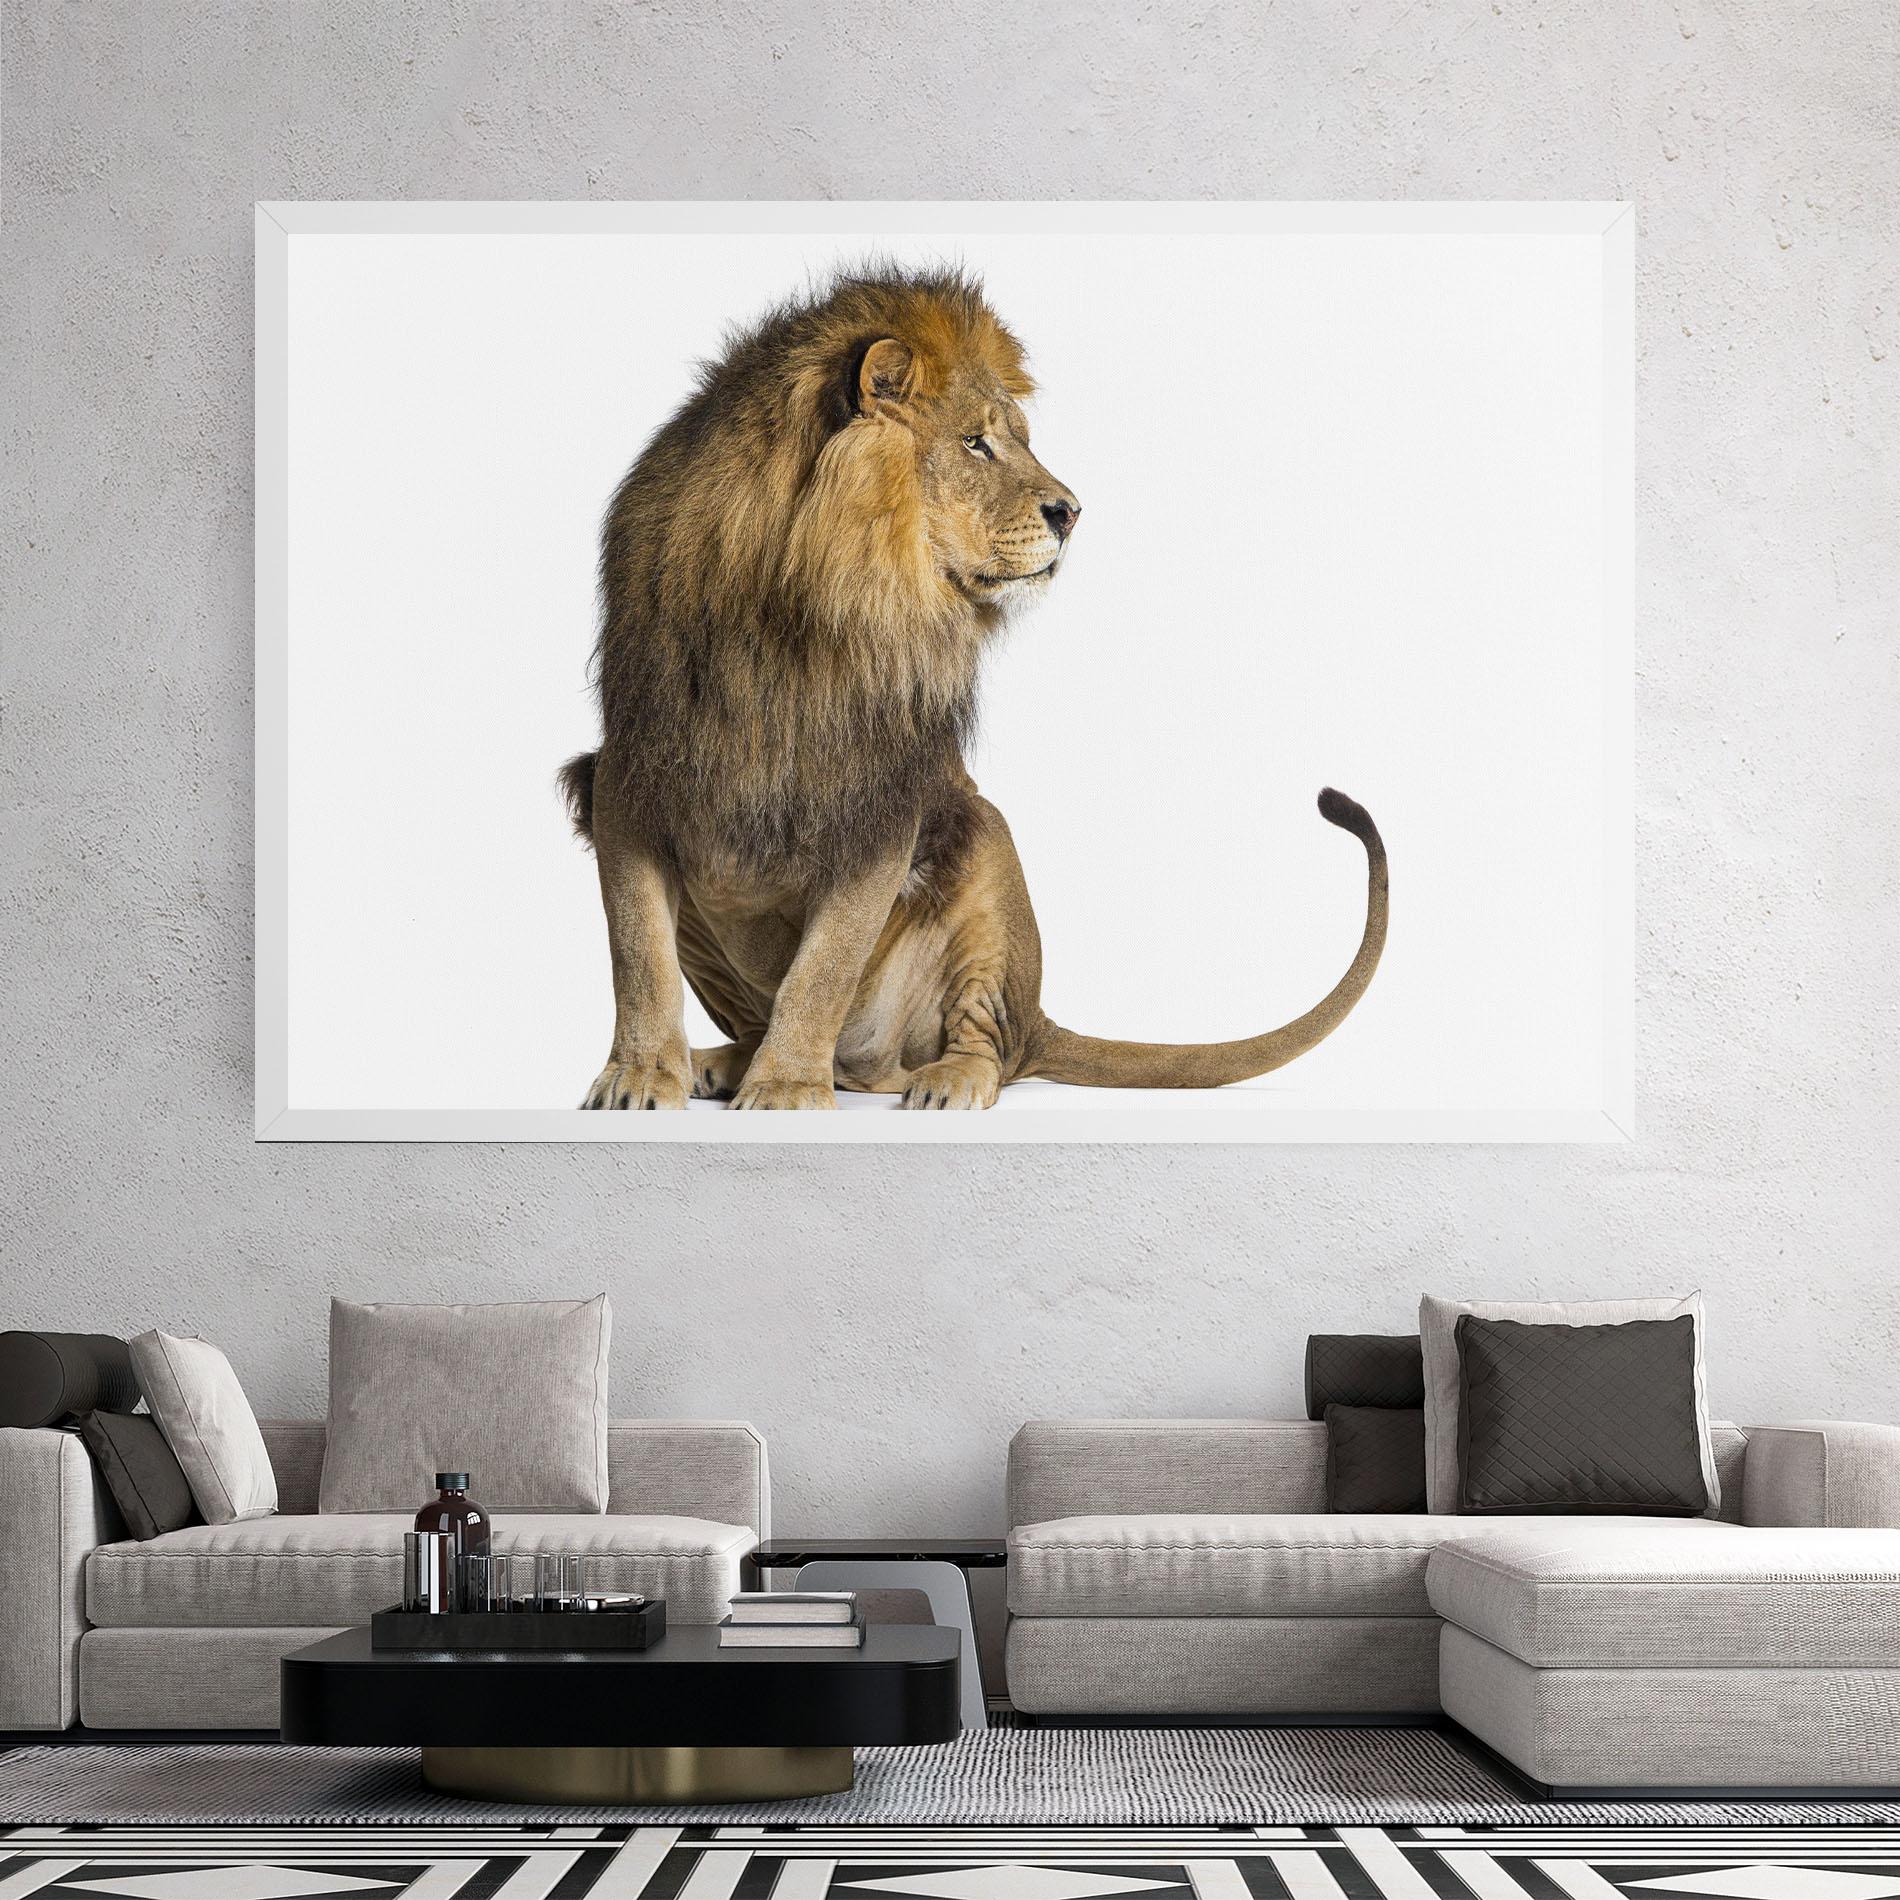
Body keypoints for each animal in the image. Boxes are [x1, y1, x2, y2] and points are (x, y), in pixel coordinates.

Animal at [559, 266, 1386, 1110]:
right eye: (975, 442)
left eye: (1017, 438)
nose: (1072, 513)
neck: (795, 613)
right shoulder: (628, 775)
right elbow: (639, 954)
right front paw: (640, 1076)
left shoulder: (883, 801)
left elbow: (822, 969)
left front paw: (787, 1086)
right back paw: (724, 1062)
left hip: (985, 853)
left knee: (987, 1040)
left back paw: (939, 1078)